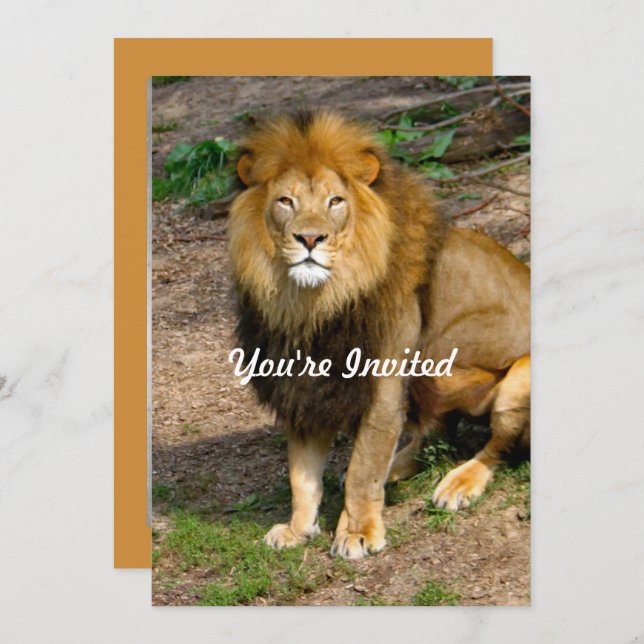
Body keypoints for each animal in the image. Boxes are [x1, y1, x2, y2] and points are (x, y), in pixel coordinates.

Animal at [227, 110, 530, 560]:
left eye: (335, 201)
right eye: (286, 201)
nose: (310, 238)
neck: (312, 303)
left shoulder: (381, 387)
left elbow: (362, 468)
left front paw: (357, 533)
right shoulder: (305, 389)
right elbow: (301, 475)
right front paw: (298, 529)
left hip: (515, 385)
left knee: (498, 448)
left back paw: (460, 483)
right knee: (433, 432)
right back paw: (400, 467)